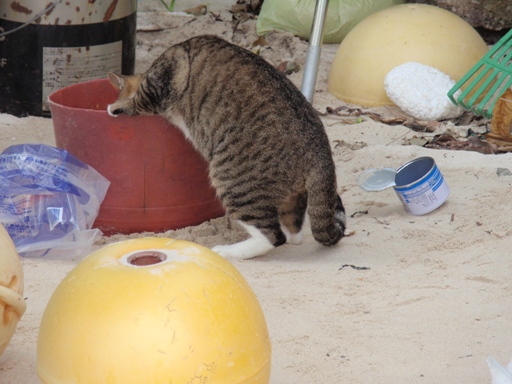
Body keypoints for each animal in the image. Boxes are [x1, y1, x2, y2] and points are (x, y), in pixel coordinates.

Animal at [106, 34, 346, 260]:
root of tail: (320, 149)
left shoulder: (158, 86)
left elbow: (136, 101)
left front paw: (115, 106)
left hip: (234, 182)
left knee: (273, 236)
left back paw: (228, 251)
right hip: (288, 195)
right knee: (293, 232)